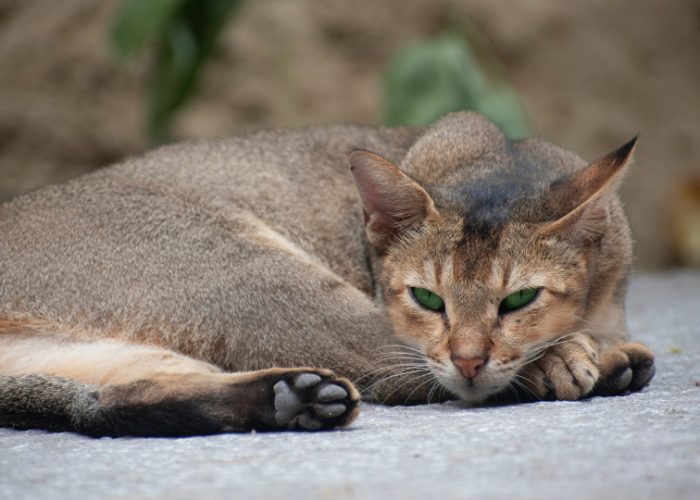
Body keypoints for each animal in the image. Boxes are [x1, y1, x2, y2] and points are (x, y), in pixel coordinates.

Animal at [1, 111, 656, 436]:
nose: (470, 358)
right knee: (399, 371)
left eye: (518, 299)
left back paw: (291, 399)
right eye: (428, 298)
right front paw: (568, 356)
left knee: (103, 402)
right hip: (252, 273)